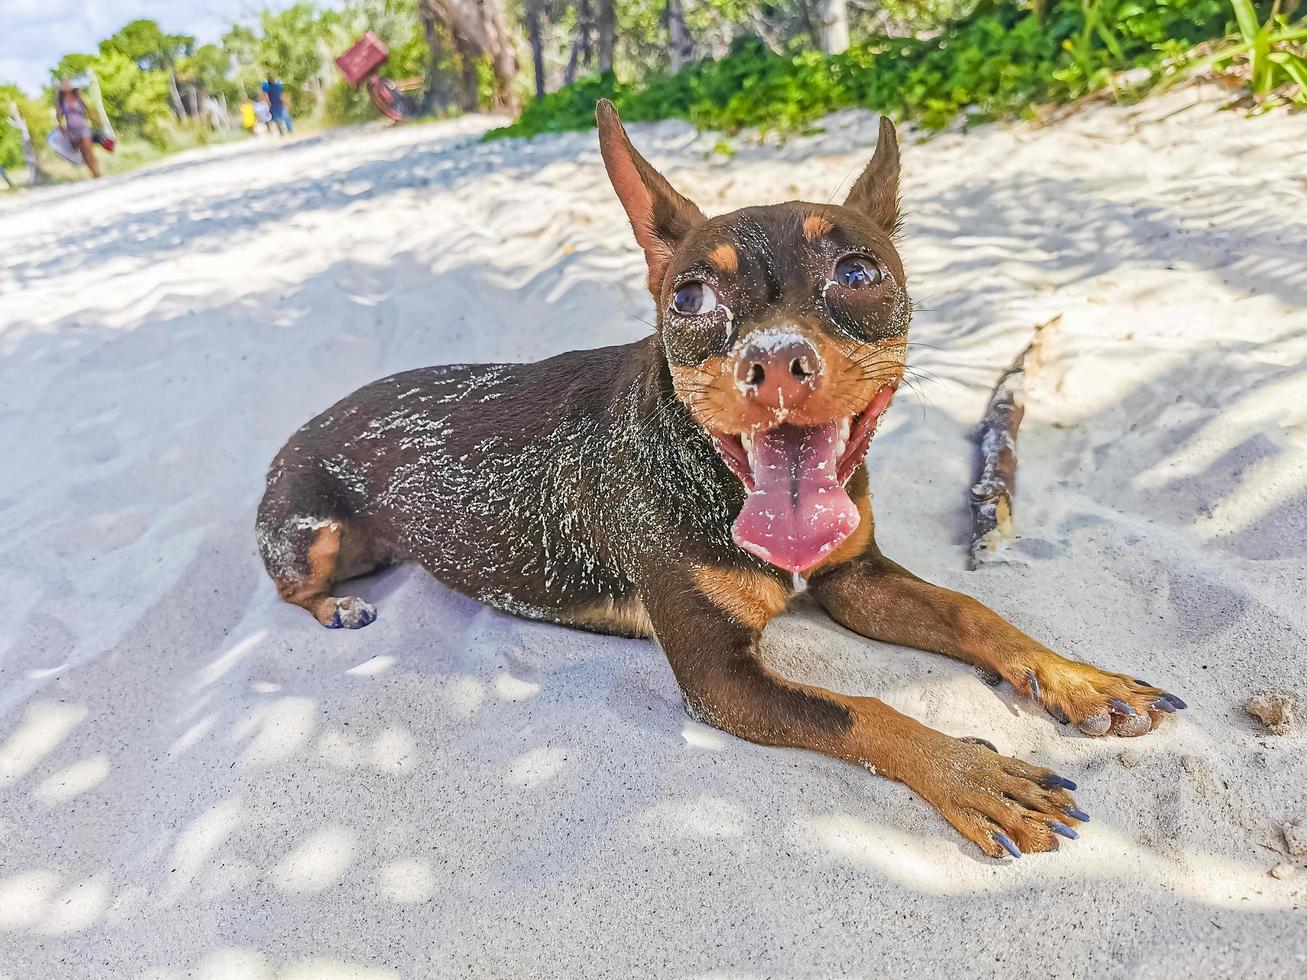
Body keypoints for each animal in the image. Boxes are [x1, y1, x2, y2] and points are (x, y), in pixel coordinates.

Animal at [257, 101, 1186, 857]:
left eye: (859, 273)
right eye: (690, 298)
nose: (773, 362)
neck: (720, 480)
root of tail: (307, 422)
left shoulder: (855, 580)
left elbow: (972, 611)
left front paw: (1076, 679)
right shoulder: (721, 681)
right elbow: (862, 709)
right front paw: (967, 772)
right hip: (308, 531)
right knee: (292, 587)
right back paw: (335, 607)